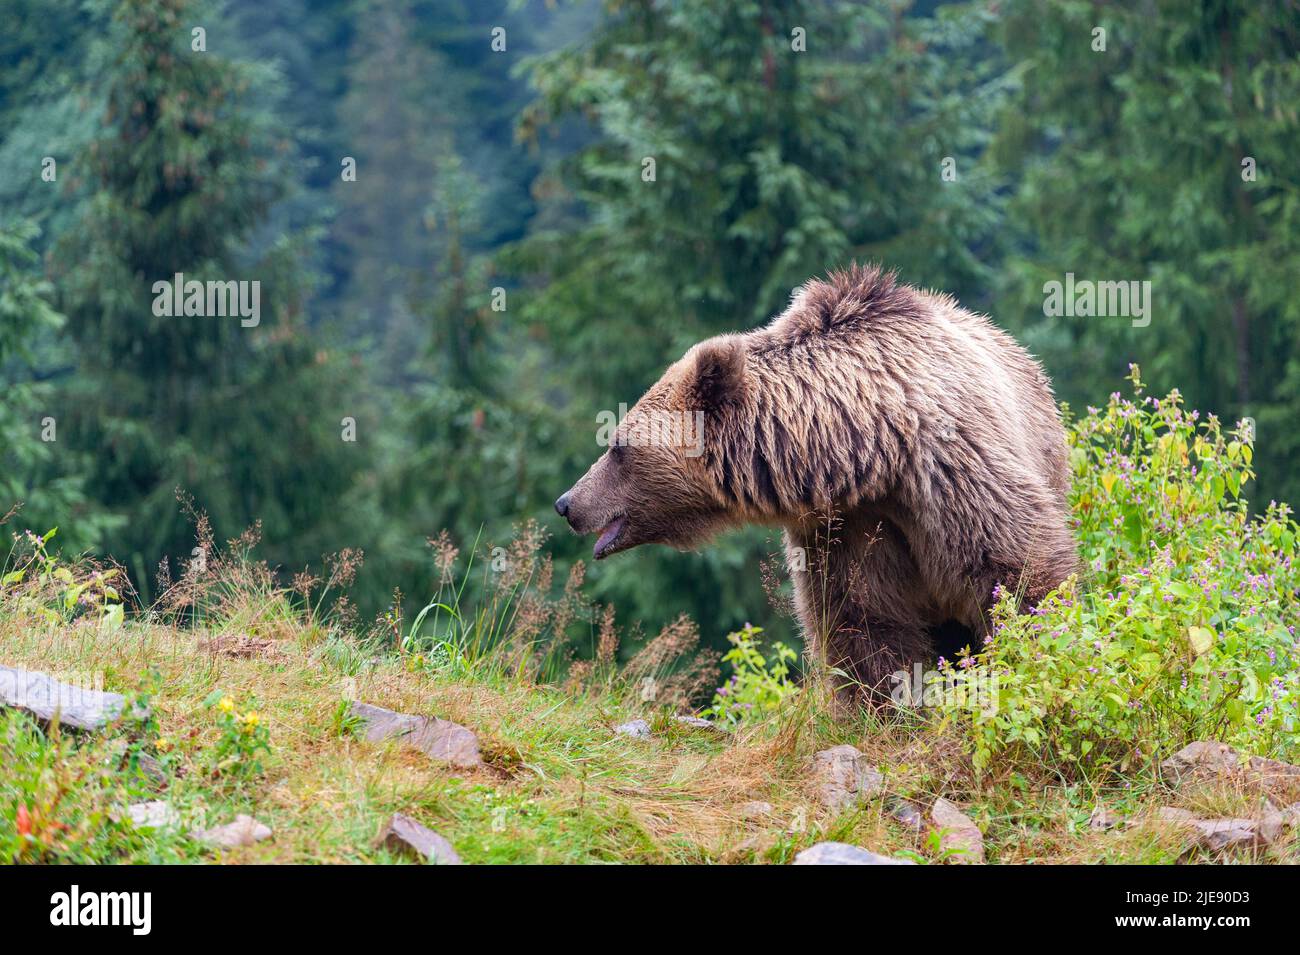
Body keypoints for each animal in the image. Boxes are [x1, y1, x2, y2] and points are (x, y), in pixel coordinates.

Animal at [554, 264, 1077, 702]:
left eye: (617, 446)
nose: (567, 503)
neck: (867, 451)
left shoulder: (949, 474)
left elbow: (1014, 572)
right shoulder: (845, 529)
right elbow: (863, 622)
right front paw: (887, 705)